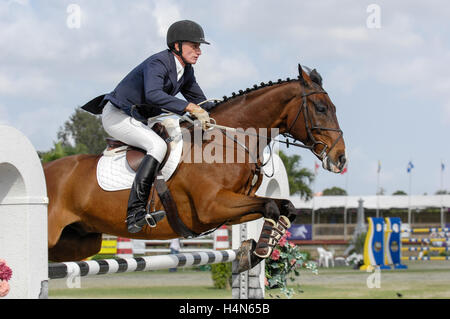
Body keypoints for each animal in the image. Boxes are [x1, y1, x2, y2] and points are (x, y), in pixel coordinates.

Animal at [44, 65, 348, 272]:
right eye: (321, 108)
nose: (340, 159)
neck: (229, 141)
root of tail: (45, 170)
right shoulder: (211, 206)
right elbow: (273, 206)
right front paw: (257, 253)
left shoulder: (229, 211)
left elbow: (284, 206)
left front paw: (253, 252)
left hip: (78, 241)